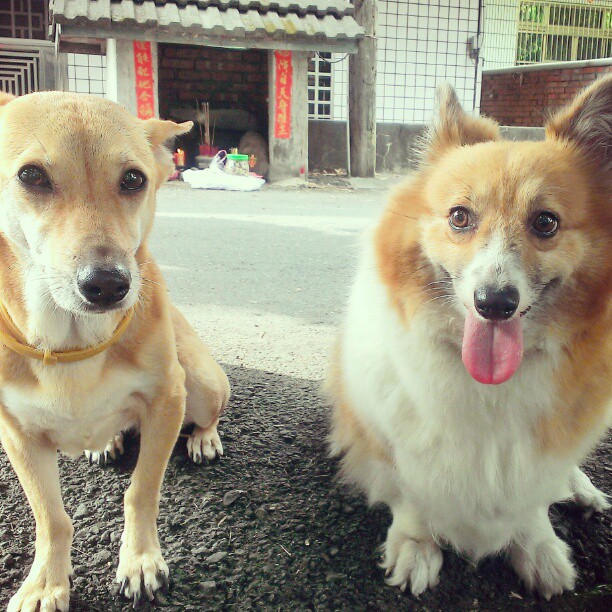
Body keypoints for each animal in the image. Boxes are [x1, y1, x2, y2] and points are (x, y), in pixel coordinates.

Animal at [0, 92, 228, 612]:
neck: (72, 341)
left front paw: (140, 561)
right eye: (31, 175)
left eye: (133, 179)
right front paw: (45, 583)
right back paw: (105, 441)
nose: (108, 284)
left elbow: (141, 491)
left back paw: (204, 438)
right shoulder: (17, 433)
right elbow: (51, 517)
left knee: (207, 412)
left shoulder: (167, 400)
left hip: (201, 381)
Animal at [330, 75, 612, 596]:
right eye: (460, 216)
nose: (494, 303)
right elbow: (411, 498)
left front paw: (539, 548)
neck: (491, 389)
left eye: (546, 222)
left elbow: (533, 501)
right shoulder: (391, 444)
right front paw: (415, 548)